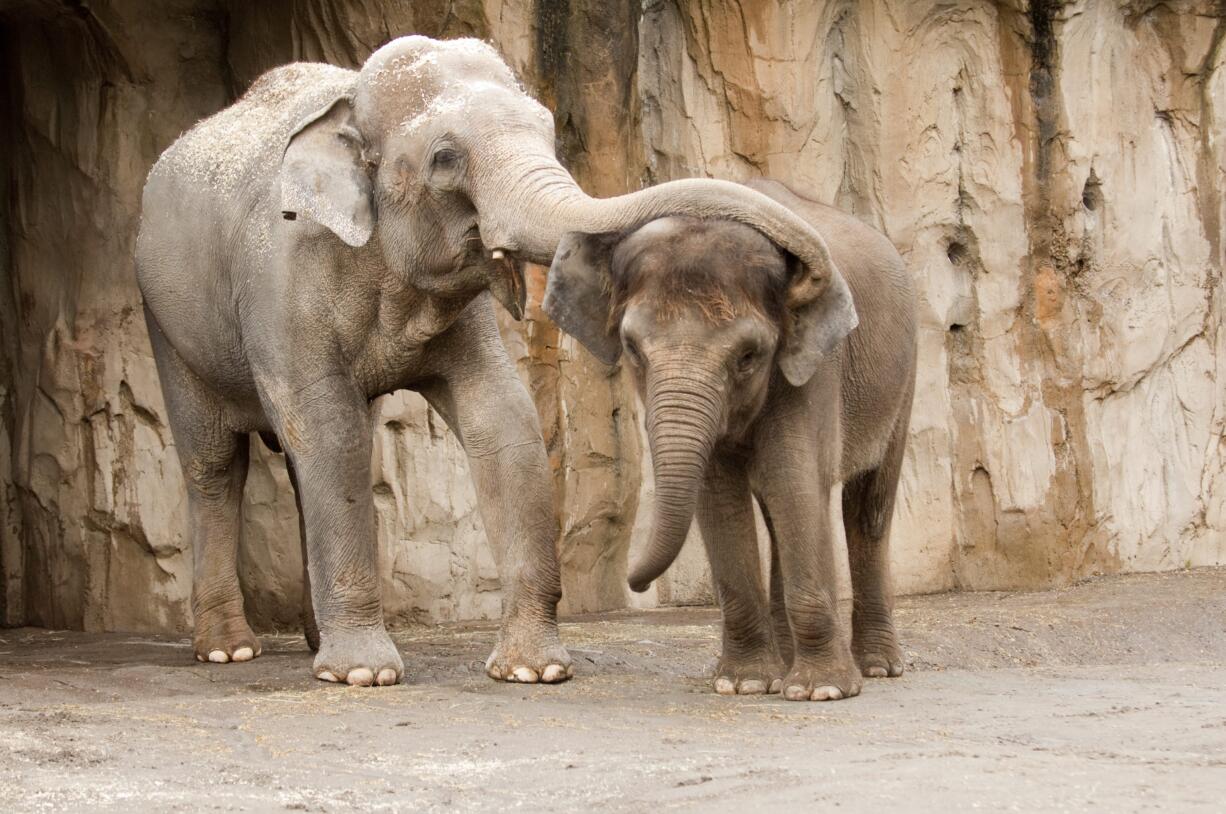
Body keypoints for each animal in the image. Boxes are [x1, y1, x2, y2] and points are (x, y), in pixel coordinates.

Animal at [136, 36, 853, 686]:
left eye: (548, 132)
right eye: (445, 158)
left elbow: (501, 419)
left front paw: (534, 670)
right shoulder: (284, 277)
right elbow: (329, 428)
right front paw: (364, 674)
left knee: (297, 458)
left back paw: (309, 640)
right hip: (164, 315)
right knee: (216, 463)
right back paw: (229, 650)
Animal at [541, 177, 917, 701]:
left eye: (748, 356)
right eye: (632, 348)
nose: (633, 583)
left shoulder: (813, 367)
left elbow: (795, 481)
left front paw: (821, 691)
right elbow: (719, 494)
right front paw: (745, 684)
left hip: (903, 376)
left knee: (868, 505)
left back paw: (879, 667)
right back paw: (788, 665)